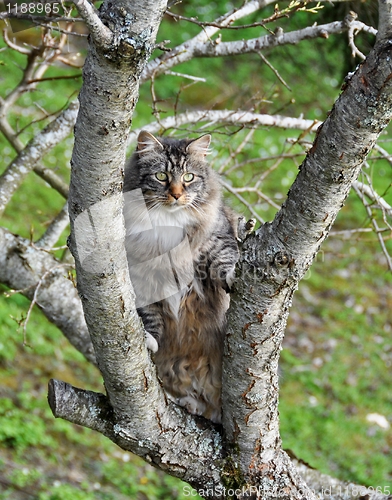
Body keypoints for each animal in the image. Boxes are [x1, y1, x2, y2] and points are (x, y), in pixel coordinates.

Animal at [122, 131, 239, 424]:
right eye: (161, 176)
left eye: (188, 177)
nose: (176, 195)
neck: (167, 224)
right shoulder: (140, 278)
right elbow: (150, 318)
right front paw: (149, 338)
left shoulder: (217, 240)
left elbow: (225, 261)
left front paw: (232, 275)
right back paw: (190, 404)